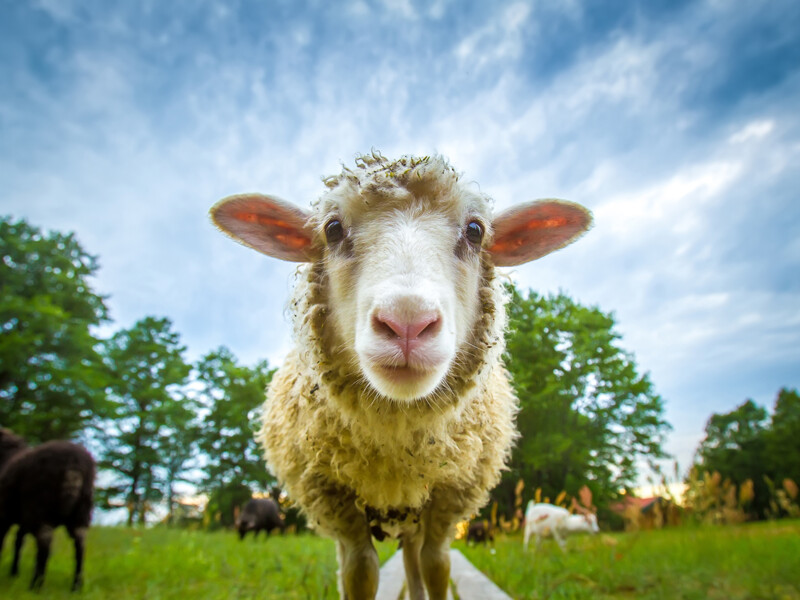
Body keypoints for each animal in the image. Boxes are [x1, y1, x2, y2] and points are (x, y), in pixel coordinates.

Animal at [0, 428, 95, 591]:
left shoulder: (4, 515)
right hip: (81, 511)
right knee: (80, 543)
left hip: (40, 507)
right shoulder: (23, 519)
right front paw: (14, 573)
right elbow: (18, 542)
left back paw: (36, 585)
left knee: (45, 541)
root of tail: (73, 464)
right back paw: (76, 586)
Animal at [211, 152, 592, 600]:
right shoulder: (337, 503)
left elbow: (436, 567)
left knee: (415, 561)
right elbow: (360, 573)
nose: (407, 322)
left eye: (476, 231)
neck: (395, 448)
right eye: (332, 229)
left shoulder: (448, 500)